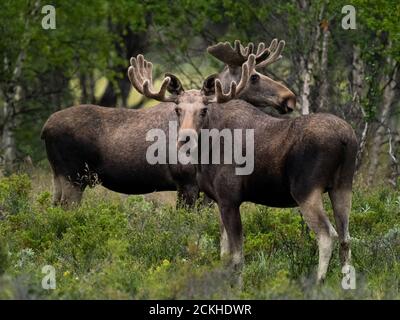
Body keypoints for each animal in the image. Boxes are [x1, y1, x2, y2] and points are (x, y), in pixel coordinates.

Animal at [129, 53, 360, 284]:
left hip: (306, 190)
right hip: (342, 186)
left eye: (203, 110)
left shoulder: (230, 198)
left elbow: (237, 256)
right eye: (177, 110)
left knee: (327, 235)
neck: (206, 150)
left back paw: (318, 282)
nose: (186, 138)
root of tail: (346, 139)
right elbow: (224, 253)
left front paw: (237, 285)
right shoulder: (218, 200)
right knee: (346, 238)